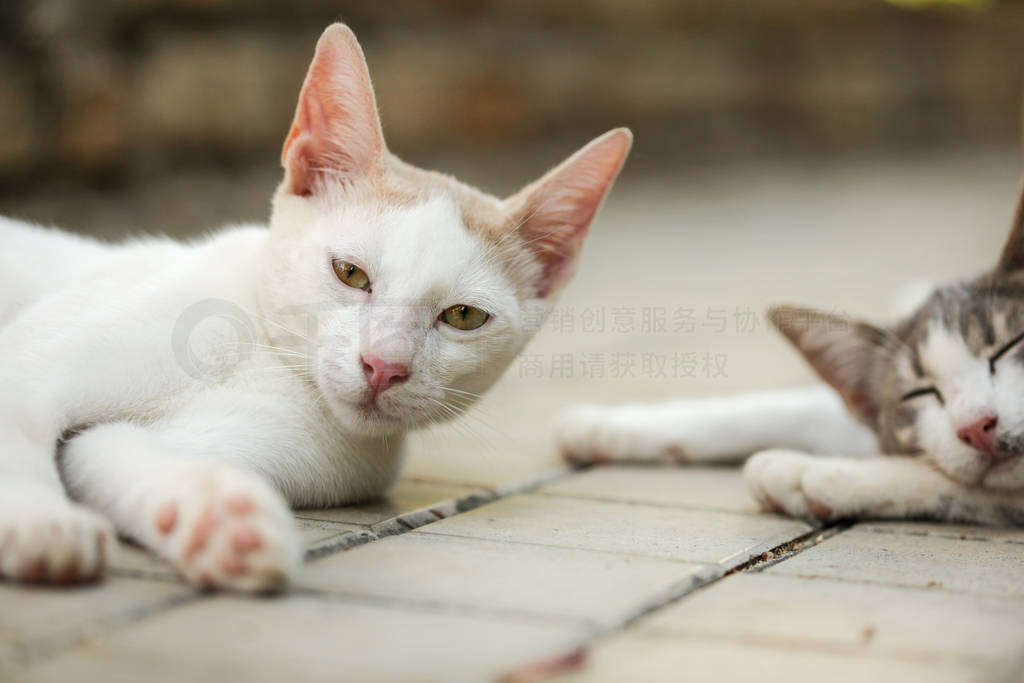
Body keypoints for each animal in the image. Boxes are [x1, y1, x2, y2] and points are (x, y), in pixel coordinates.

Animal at [0, 24, 630, 589]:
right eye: (350, 273)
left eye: (463, 317)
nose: (384, 366)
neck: (272, 361)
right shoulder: (34, 358)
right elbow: (20, 417)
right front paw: (42, 521)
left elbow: (107, 450)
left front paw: (216, 520)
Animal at [557, 179, 1024, 528]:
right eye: (921, 393)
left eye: (1009, 345)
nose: (976, 427)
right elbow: (782, 407)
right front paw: (602, 426)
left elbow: (981, 487)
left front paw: (815, 473)